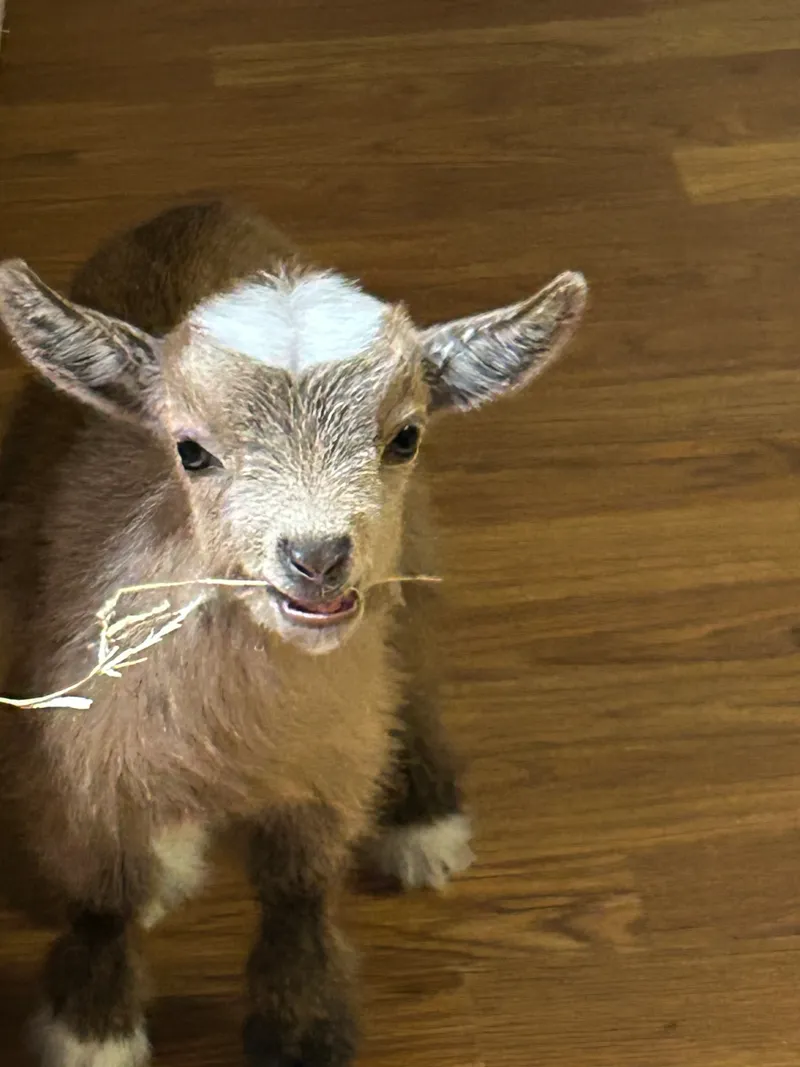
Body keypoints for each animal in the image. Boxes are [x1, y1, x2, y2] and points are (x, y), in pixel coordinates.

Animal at [0, 202, 587, 1067]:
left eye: (404, 437)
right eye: (190, 450)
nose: (317, 557)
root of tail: (204, 208)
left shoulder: (326, 768)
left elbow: (297, 896)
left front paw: (303, 1030)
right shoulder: (82, 768)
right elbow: (103, 894)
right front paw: (92, 1028)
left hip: (411, 571)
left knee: (417, 674)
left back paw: (425, 819)